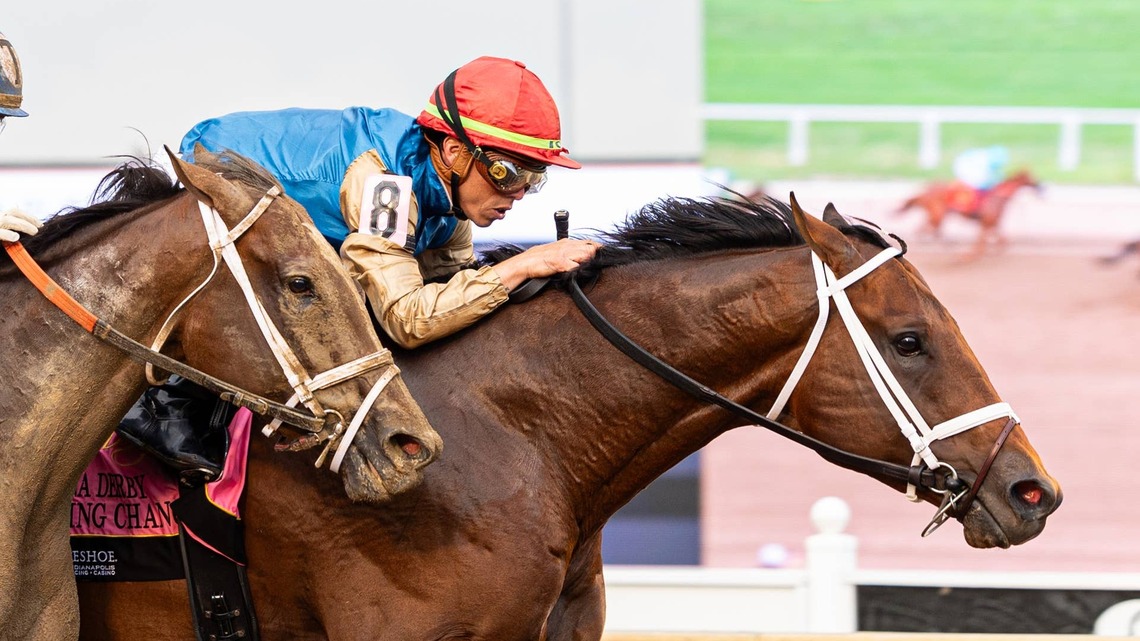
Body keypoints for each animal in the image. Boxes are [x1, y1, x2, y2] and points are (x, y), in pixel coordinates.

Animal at [896, 169, 1043, 257]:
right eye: (1031, 177)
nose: (1040, 186)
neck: (998, 197)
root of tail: (925, 190)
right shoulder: (987, 223)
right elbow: (984, 245)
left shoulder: (992, 224)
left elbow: (1002, 241)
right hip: (938, 214)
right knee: (928, 230)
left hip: (935, 215)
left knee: (926, 229)